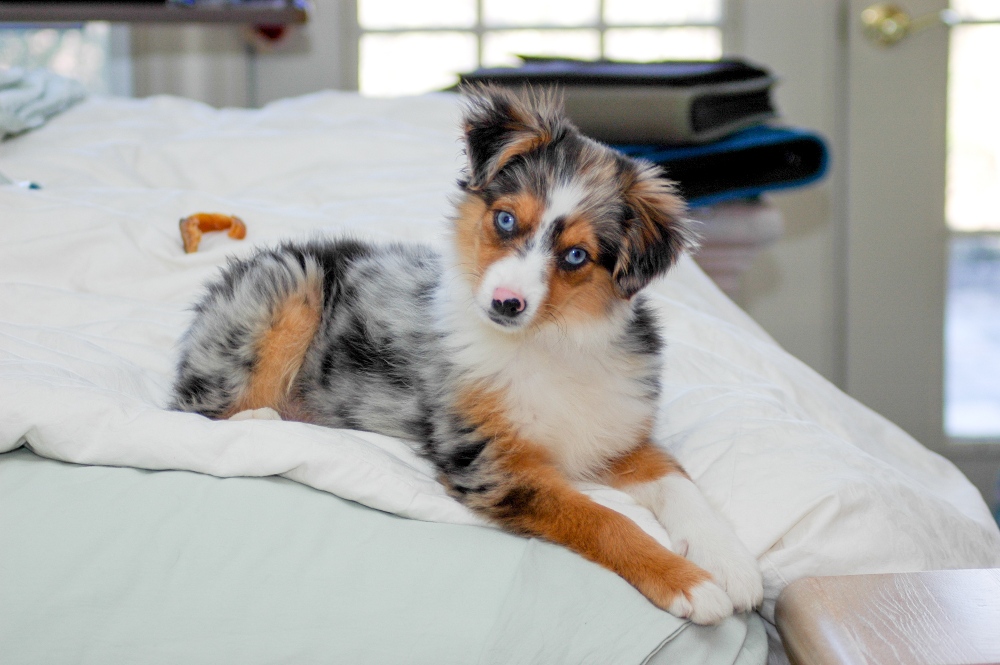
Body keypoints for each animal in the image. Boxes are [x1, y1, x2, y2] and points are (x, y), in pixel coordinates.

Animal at [174, 83, 764, 624]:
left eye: (576, 255)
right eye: (505, 219)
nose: (505, 303)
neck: (549, 341)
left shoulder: (617, 434)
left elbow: (681, 483)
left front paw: (732, 563)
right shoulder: (493, 464)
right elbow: (602, 519)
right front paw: (688, 583)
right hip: (292, 285)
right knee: (203, 409)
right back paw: (268, 422)